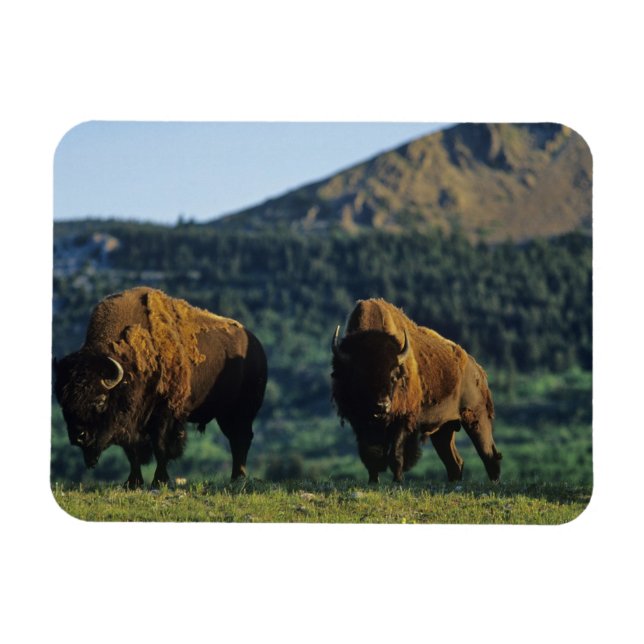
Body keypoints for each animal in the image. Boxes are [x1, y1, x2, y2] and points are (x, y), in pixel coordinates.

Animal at [54, 287, 267, 488]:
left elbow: (161, 447)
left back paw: (238, 478)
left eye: (100, 400)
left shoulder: (166, 414)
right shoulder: (131, 423)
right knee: (236, 439)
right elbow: (132, 452)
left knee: (240, 439)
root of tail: (257, 346)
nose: (78, 436)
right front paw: (132, 482)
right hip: (225, 414)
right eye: (64, 403)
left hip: (241, 411)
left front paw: (159, 480)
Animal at [331, 298, 502, 483]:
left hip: (476, 418)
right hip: (444, 429)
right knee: (454, 462)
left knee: (489, 455)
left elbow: (396, 455)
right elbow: (371, 455)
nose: (382, 405)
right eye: (361, 376)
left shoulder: (403, 421)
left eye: (394, 376)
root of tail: (478, 369)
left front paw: (398, 481)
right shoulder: (361, 424)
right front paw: (373, 482)